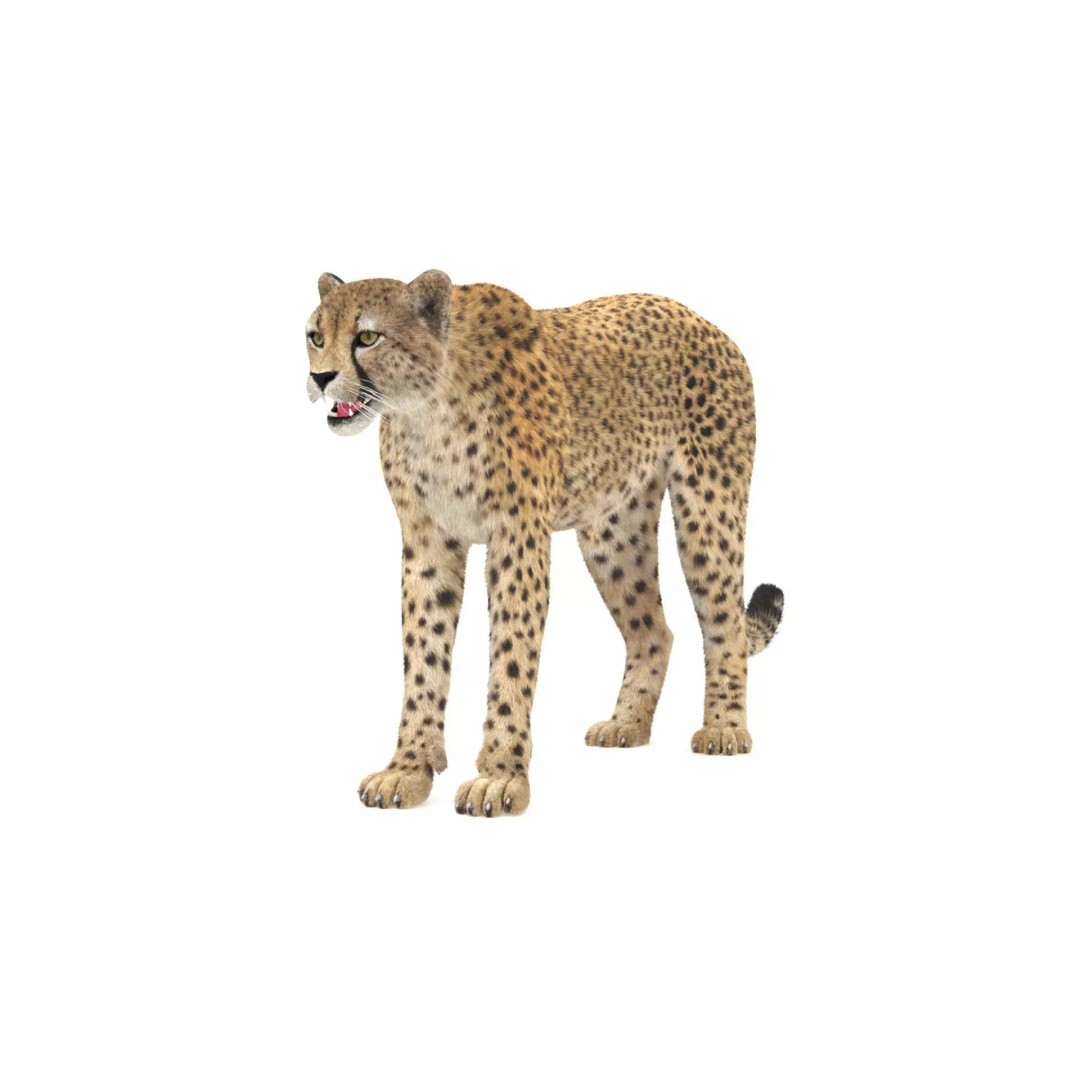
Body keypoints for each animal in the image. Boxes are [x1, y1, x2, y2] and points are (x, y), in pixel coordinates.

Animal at [307, 270, 784, 817]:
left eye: (367, 337)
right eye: (315, 336)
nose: (320, 378)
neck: (428, 408)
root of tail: (701, 319)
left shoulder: (517, 538)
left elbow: (512, 654)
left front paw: (499, 777)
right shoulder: (428, 545)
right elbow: (423, 657)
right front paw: (409, 768)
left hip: (708, 507)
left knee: (725, 624)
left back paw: (724, 728)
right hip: (611, 530)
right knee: (654, 631)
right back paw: (626, 724)